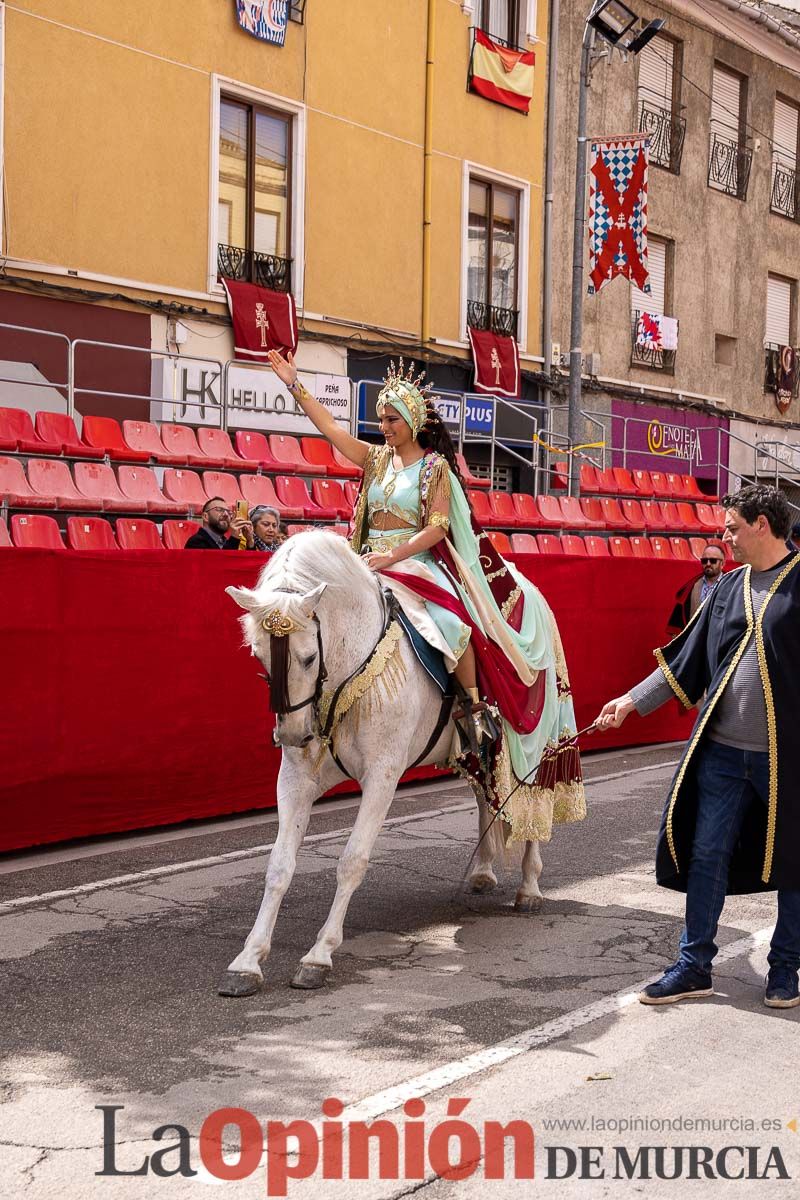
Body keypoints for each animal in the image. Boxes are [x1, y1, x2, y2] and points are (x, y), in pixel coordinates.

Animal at [219, 532, 544, 993]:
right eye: (258, 656)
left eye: (307, 657)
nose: (293, 735)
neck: (349, 664)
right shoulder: (297, 776)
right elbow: (278, 865)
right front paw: (248, 960)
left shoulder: (382, 776)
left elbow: (352, 860)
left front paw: (319, 955)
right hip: (476, 754)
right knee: (487, 798)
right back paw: (482, 872)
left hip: (534, 741)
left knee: (535, 802)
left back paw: (530, 888)